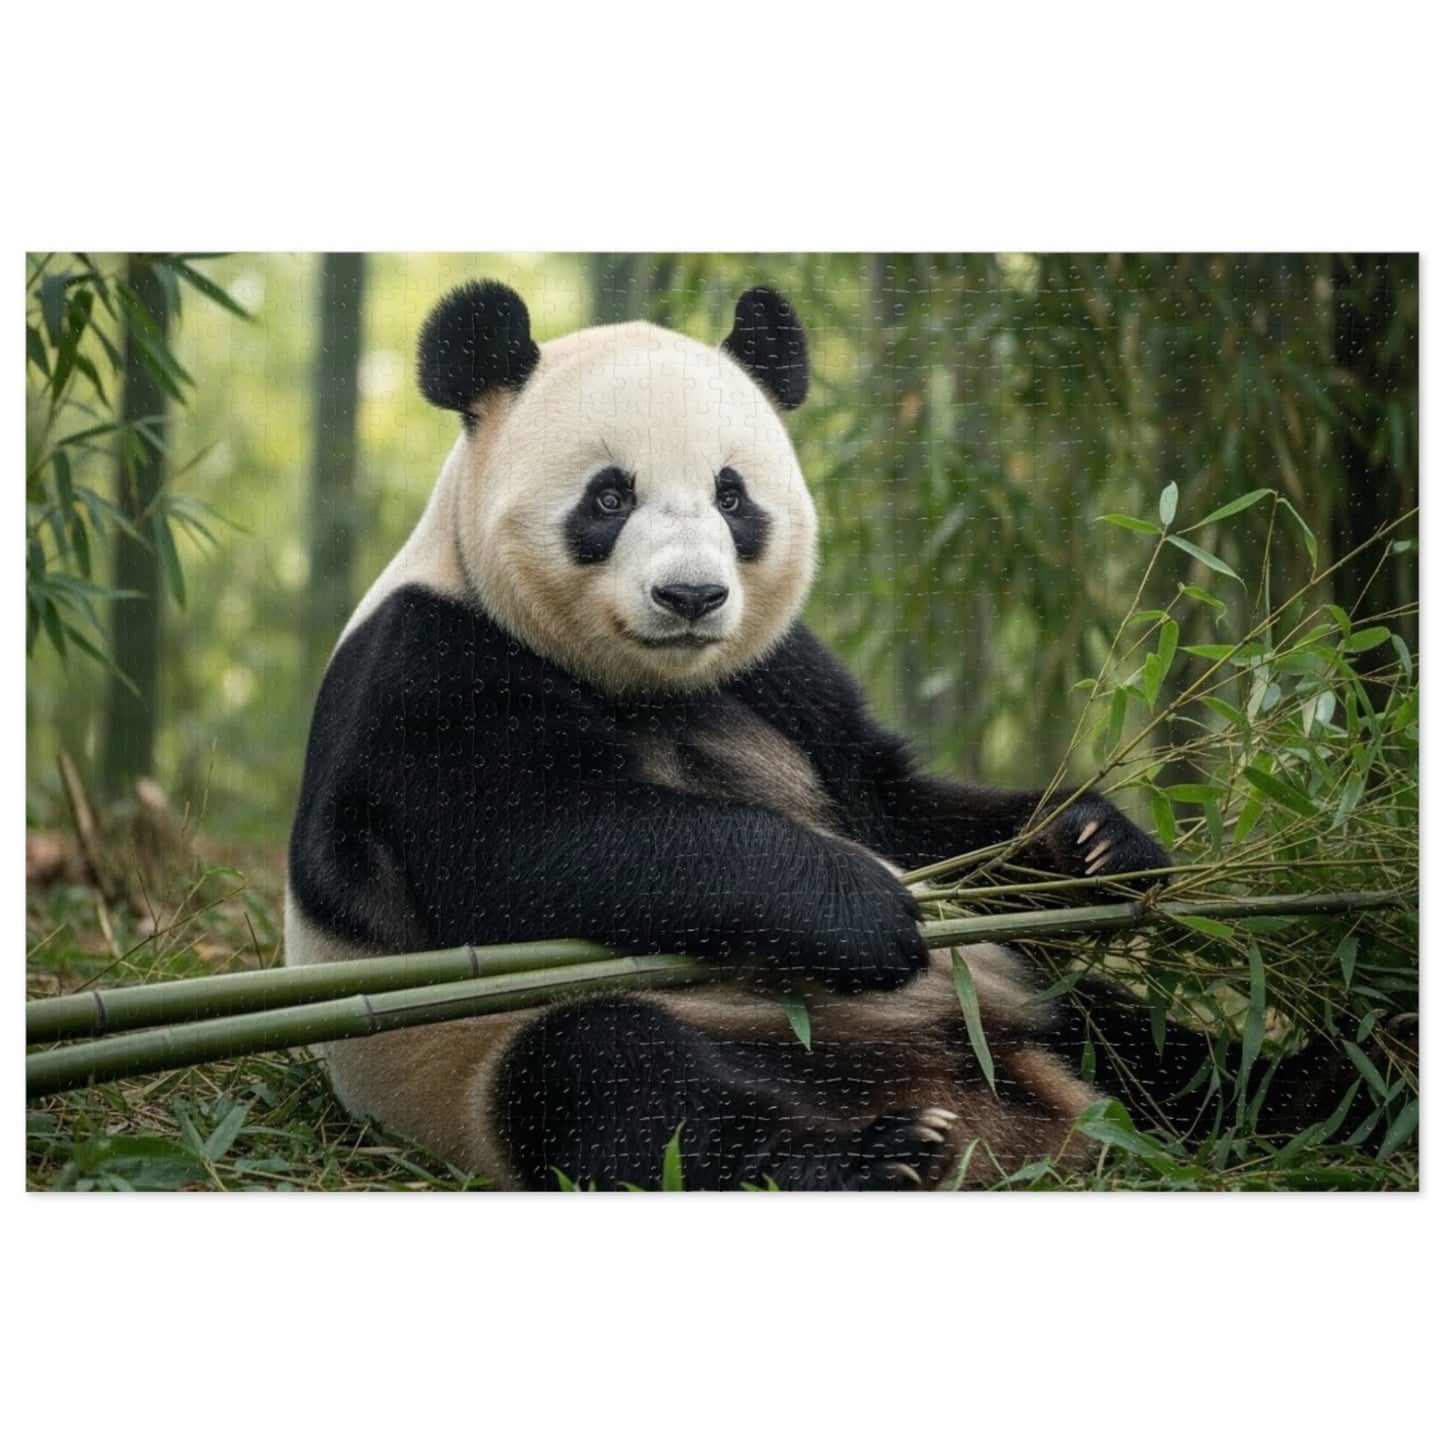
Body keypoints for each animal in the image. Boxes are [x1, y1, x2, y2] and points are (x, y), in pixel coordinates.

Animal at [284, 279, 1177, 1191]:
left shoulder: (780, 673)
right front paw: (862, 907)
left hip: (1024, 1010)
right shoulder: (427, 664)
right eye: (609, 497)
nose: (690, 596)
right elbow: (534, 842)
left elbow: (899, 808)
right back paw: (877, 1154)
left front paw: (1094, 842)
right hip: (484, 1050)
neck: (650, 681)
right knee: (613, 1079)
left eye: (731, 496)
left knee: (1141, 1040)